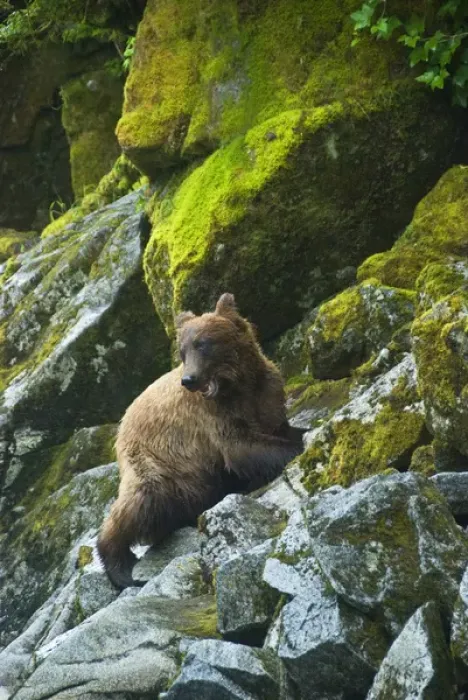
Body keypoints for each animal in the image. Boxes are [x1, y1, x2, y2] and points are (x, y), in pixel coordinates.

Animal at [97, 293, 304, 589]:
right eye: (183, 351)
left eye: (203, 344)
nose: (189, 379)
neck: (238, 385)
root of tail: (121, 425)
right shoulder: (213, 417)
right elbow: (241, 449)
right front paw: (296, 447)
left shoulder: (266, 395)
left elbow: (277, 427)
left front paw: (300, 432)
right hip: (156, 463)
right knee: (140, 502)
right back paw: (121, 569)